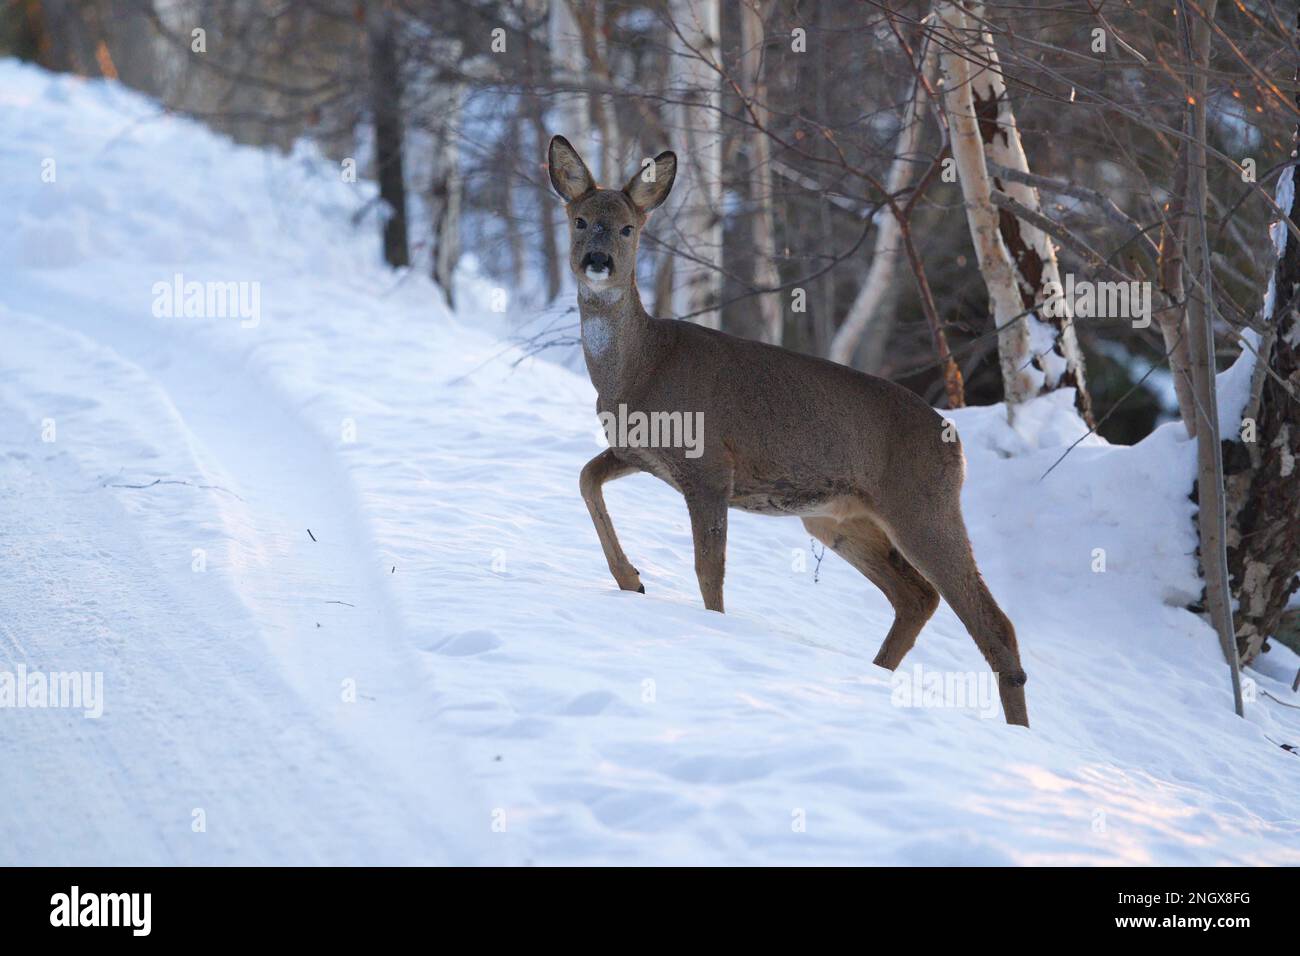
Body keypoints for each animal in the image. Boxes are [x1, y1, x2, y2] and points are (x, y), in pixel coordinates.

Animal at [547, 135, 1029, 727]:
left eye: (627, 227)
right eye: (579, 219)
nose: (598, 261)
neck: (643, 368)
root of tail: (956, 443)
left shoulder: (710, 466)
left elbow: (710, 570)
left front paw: (709, 626)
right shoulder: (638, 452)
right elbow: (585, 478)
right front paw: (630, 579)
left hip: (922, 505)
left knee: (992, 622)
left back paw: (1016, 731)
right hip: (837, 518)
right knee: (916, 597)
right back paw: (876, 677)